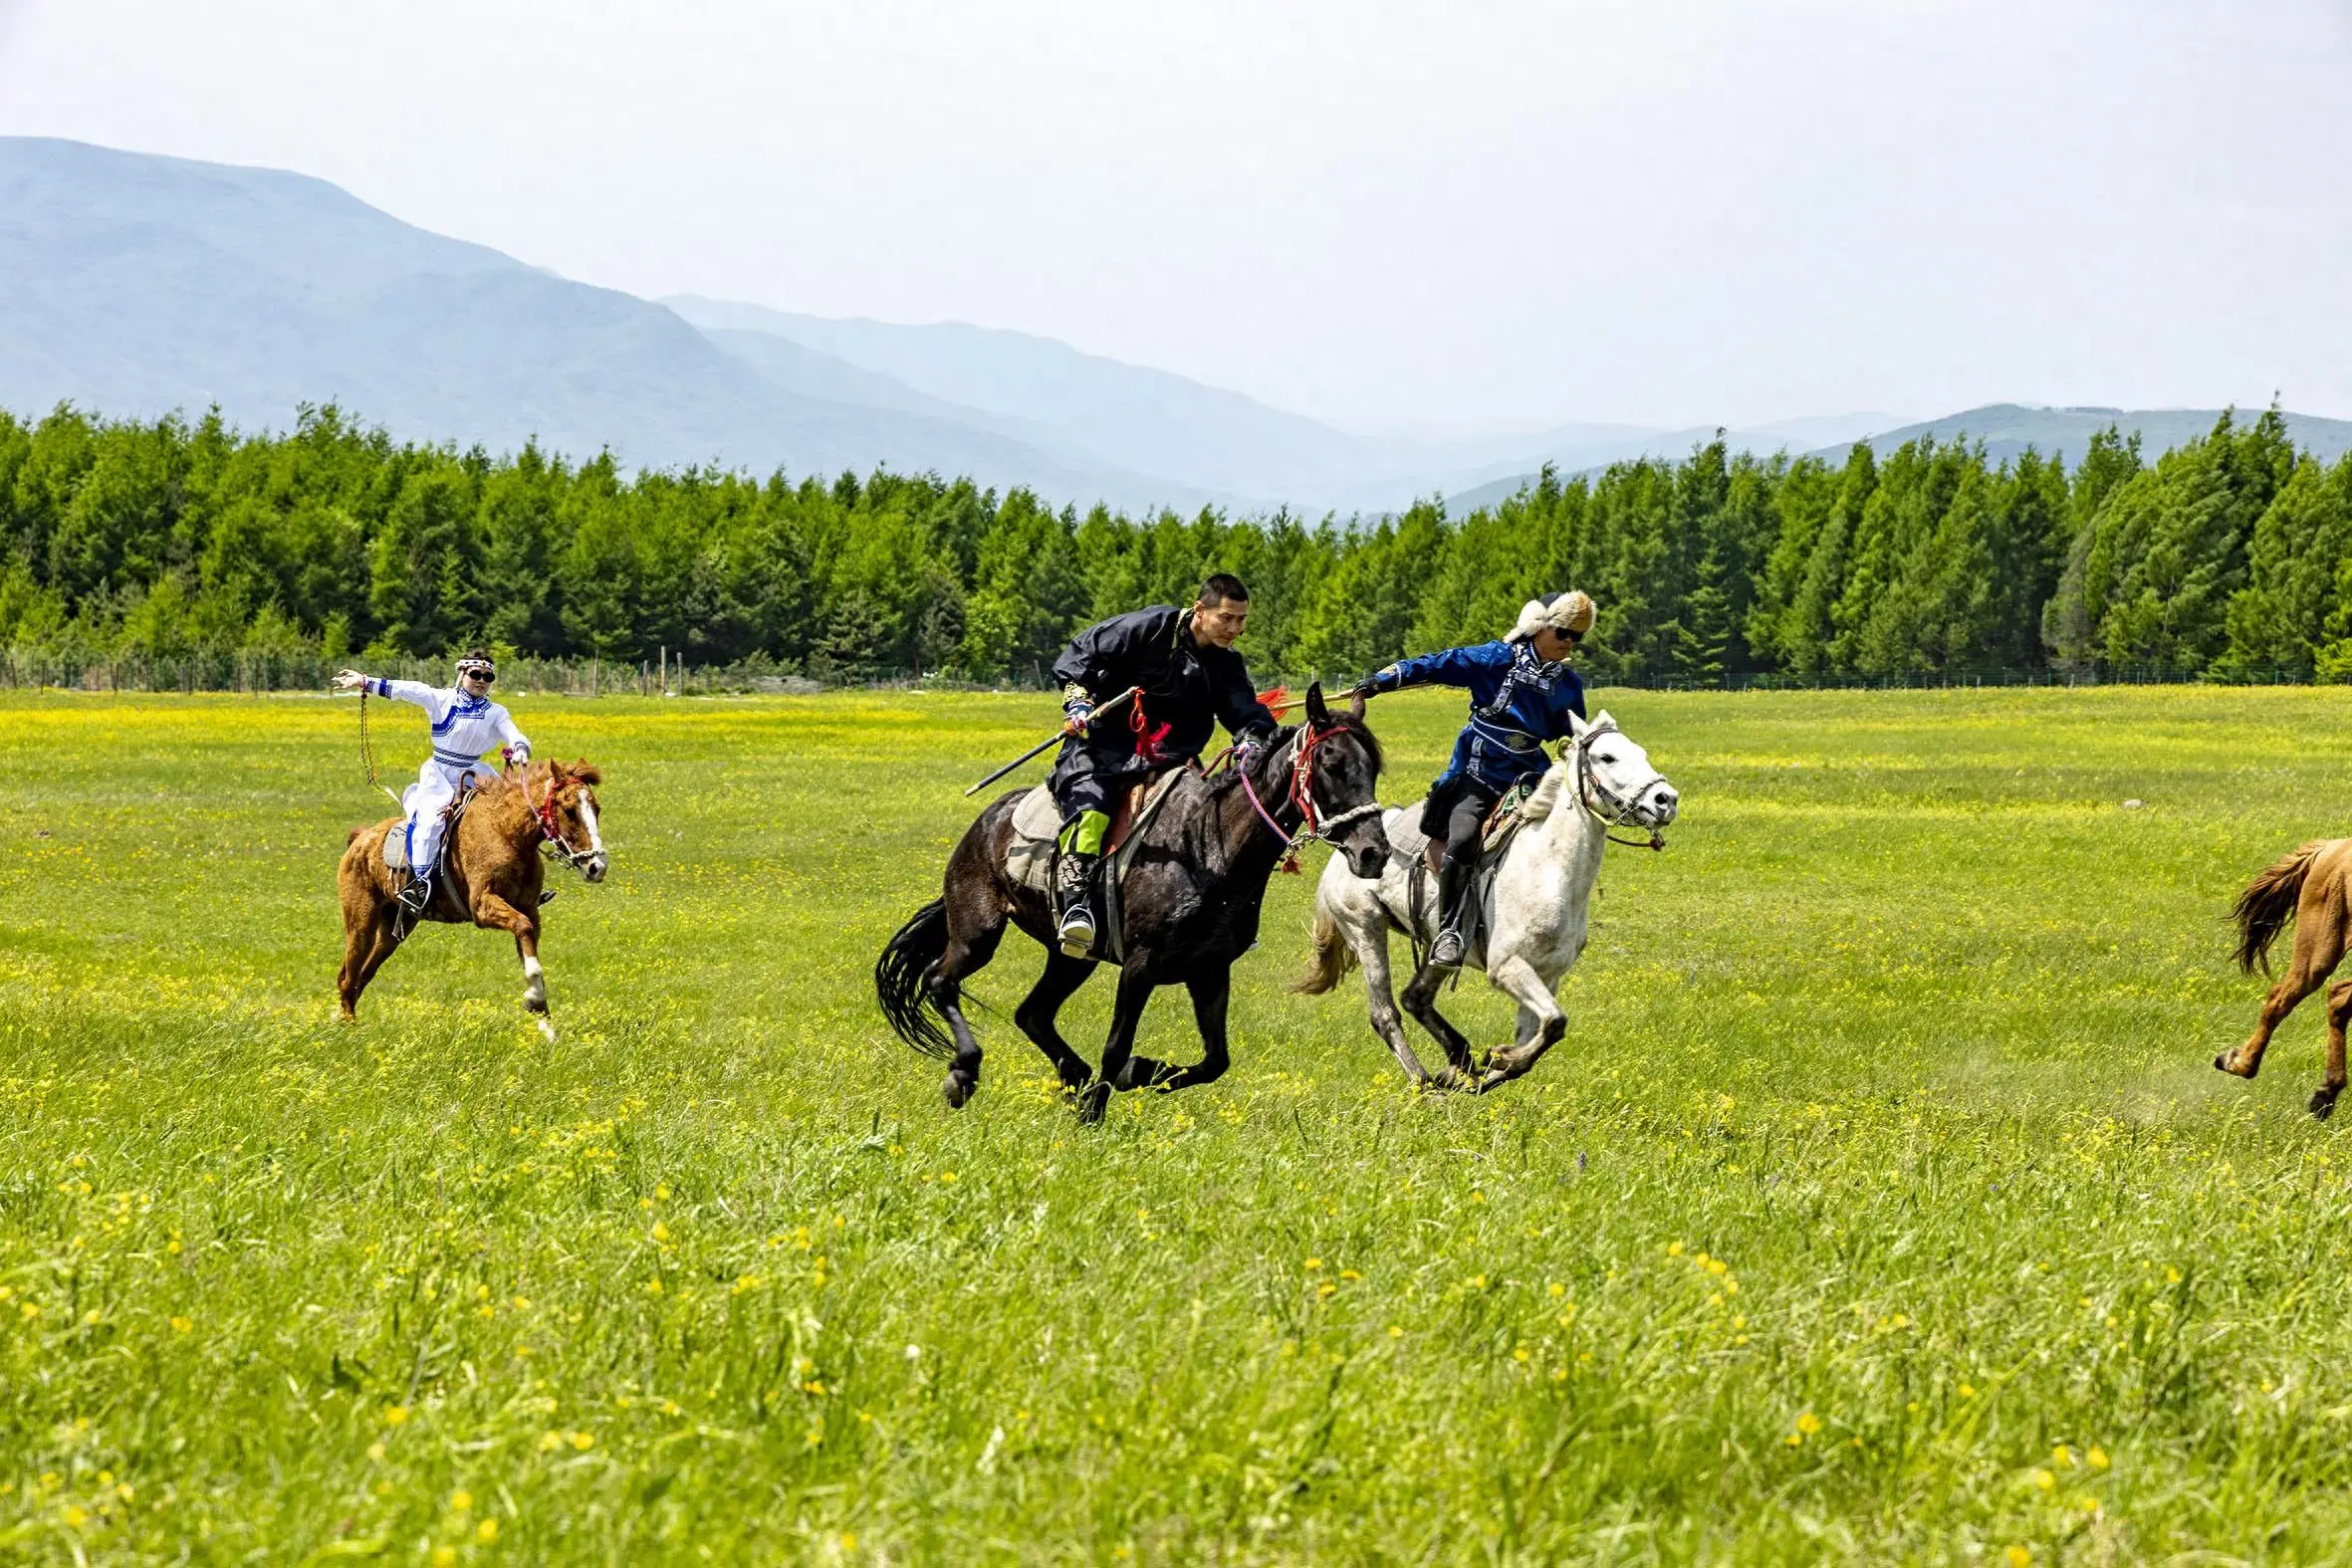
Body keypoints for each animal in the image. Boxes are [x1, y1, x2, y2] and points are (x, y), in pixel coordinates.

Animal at [334, 762, 611, 1043]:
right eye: (569, 810)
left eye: (597, 809)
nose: (596, 867)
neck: (506, 831)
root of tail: (361, 838)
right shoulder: (484, 907)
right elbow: (523, 930)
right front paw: (533, 1001)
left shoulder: (530, 910)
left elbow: (530, 951)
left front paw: (547, 1027)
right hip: (361, 925)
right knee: (347, 977)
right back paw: (349, 1030)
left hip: (393, 932)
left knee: (362, 976)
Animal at [884, 681, 1392, 1123]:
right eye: (1330, 763)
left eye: (1371, 768)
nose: (1374, 852)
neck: (1207, 844)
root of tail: (987, 821)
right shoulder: (1140, 966)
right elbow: (1117, 1047)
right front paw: (1094, 1114)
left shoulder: (1209, 971)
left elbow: (1215, 1061)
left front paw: (1136, 1075)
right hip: (978, 932)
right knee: (941, 981)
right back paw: (964, 1072)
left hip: (1072, 957)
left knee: (1032, 1013)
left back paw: (1072, 1075)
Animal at [1289, 710, 1674, 1090]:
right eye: (1606, 757)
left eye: (1641, 753)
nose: (1666, 800)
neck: (1547, 867)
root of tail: (1344, 851)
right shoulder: (1507, 967)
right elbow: (1554, 1022)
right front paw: (1499, 1058)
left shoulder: (1546, 976)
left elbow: (1540, 1034)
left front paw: (1494, 1064)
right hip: (1365, 929)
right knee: (1385, 1012)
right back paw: (1426, 1082)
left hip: (1437, 949)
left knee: (1416, 997)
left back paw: (1456, 1062)